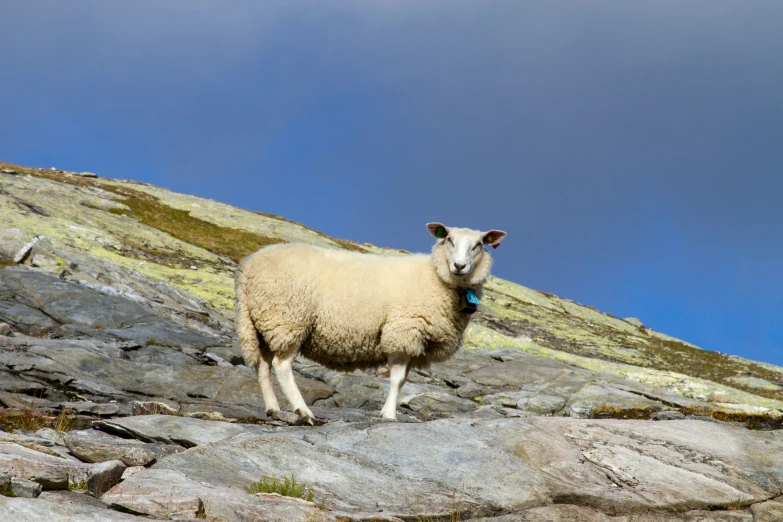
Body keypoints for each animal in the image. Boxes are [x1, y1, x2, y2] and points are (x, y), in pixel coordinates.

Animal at [234, 221, 508, 420]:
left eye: (478, 245)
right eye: (449, 239)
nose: (459, 266)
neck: (437, 278)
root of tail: (248, 267)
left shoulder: (414, 343)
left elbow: (403, 381)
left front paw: (387, 411)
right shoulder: (403, 331)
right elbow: (396, 379)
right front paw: (389, 415)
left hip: (262, 323)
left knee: (262, 367)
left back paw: (273, 409)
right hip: (287, 319)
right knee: (281, 366)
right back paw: (304, 411)